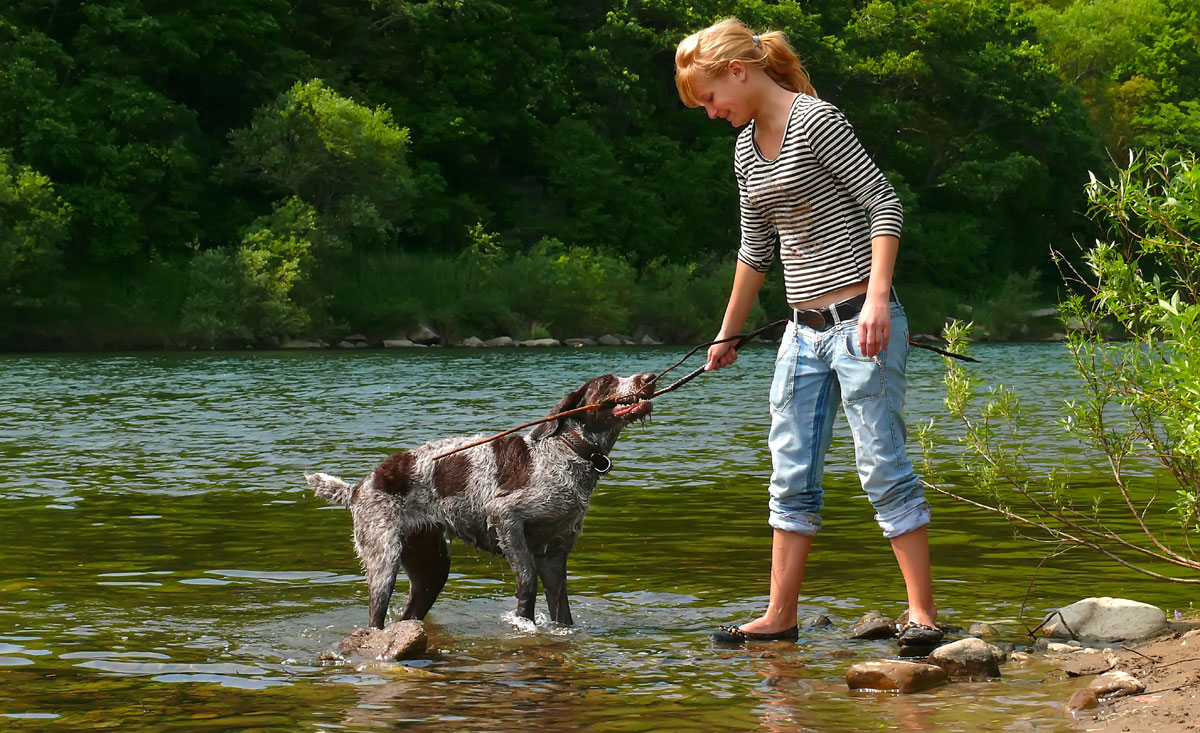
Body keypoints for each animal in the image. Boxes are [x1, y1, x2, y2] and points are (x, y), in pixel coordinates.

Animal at [304, 371, 652, 628]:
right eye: (606, 382)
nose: (648, 377)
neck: (568, 452)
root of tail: (359, 486)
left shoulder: (555, 553)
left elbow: (561, 610)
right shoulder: (506, 517)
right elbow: (527, 580)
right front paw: (522, 619)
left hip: (432, 568)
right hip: (384, 561)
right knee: (375, 619)